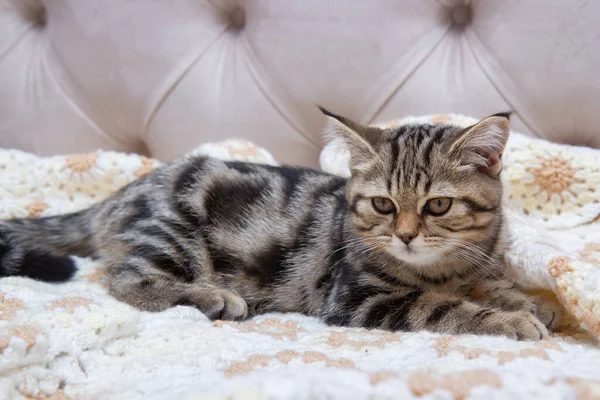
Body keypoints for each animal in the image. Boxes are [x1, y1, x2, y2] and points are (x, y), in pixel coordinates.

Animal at [0, 109, 556, 340]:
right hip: (174, 231)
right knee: (124, 279)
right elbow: (443, 307)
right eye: (382, 205)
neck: (444, 268)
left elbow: (491, 285)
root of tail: (118, 195)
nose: (405, 235)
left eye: (438, 205)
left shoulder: (477, 262)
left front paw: (525, 302)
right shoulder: (358, 297)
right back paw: (212, 297)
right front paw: (510, 320)